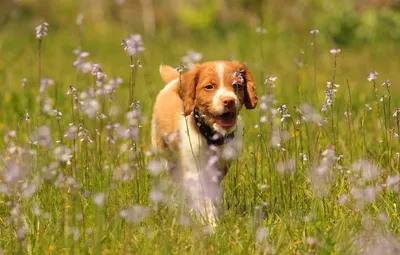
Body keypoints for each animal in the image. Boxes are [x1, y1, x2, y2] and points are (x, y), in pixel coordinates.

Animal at [152, 60, 258, 226]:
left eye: (237, 85)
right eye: (209, 87)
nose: (229, 101)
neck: (212, 136)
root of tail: (174, 80)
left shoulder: (220, 168)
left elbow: (212, 194)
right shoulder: (193, 168)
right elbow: (202, 198)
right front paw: (211, 225)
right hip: (165, 155)